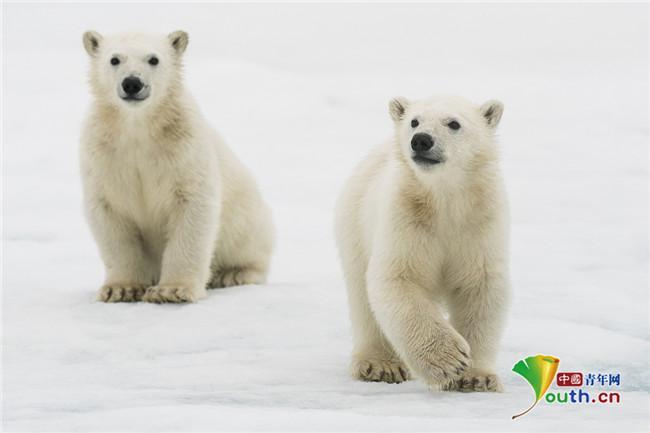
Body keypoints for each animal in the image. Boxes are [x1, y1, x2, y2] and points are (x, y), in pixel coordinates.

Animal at [80, 31, 274, 303]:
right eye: (114, 59)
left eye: (154, 59)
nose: (132, 83)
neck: (138, 128)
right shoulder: (104, 155)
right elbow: (111, 212)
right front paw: (121, 289)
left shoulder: (184, 150)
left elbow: (192, 209)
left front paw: (171, 290)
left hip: (246, 217)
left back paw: (232, 274)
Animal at [334, 95, 510, 392]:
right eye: (414, 121)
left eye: (454, 123)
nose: (421, 140)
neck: (444, 201)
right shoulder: (406, 219)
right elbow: (398, 279)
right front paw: (449, 360)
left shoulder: (479, 225)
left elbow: (480, 287)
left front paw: (477, 377)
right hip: (355, 226)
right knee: (362, 297)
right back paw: (380, 365)